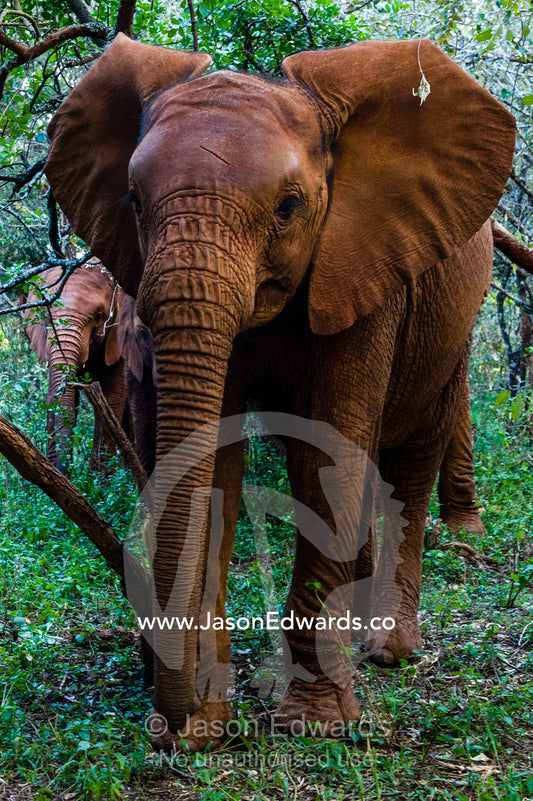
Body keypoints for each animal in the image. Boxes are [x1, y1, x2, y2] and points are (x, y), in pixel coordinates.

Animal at [25, 260, 127, 472]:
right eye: (45, 317)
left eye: (99, 317)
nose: (64, 470)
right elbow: (54, 395)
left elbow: (111, 398)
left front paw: (99, 480)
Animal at [44, 34, 514, 750]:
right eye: (133, 201)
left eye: (289, 209)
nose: (175, 730)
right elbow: (217, 465)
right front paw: (213, 717)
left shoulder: (363, 263)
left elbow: (327, 458)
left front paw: (312, 725)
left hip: (452, 323)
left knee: (410, 455)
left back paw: (388, 651)